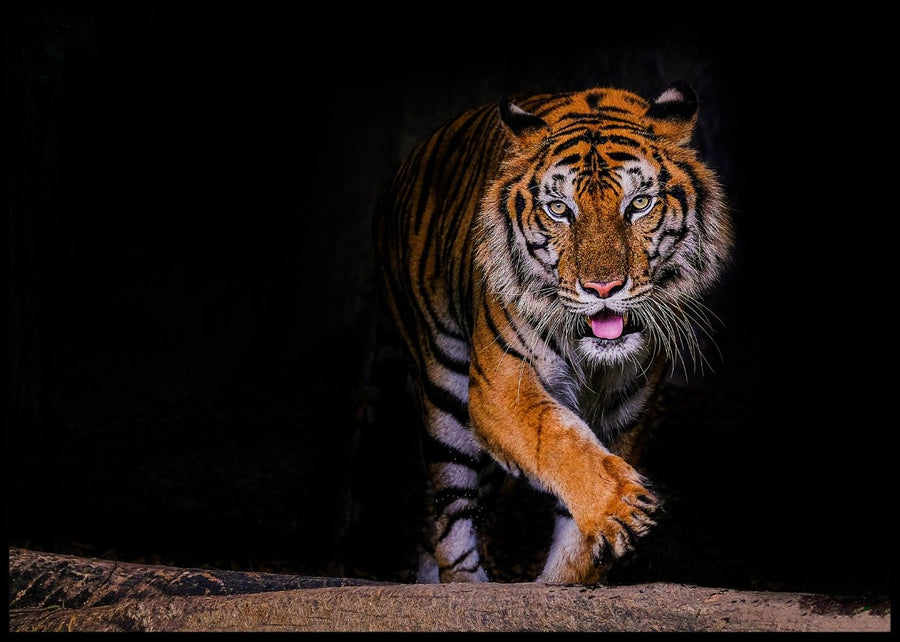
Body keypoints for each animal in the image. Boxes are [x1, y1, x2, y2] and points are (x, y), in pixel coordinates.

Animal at [373, 81, 733, 584]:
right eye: (560, 209)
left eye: (639, 204)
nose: (603, 288)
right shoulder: (501, 385)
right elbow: (559, 440)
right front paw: (622, 507)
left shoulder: (629, 407)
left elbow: (577, 530)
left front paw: (568, 577)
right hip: (444, 388)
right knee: (451, 512)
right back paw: (465, 584)